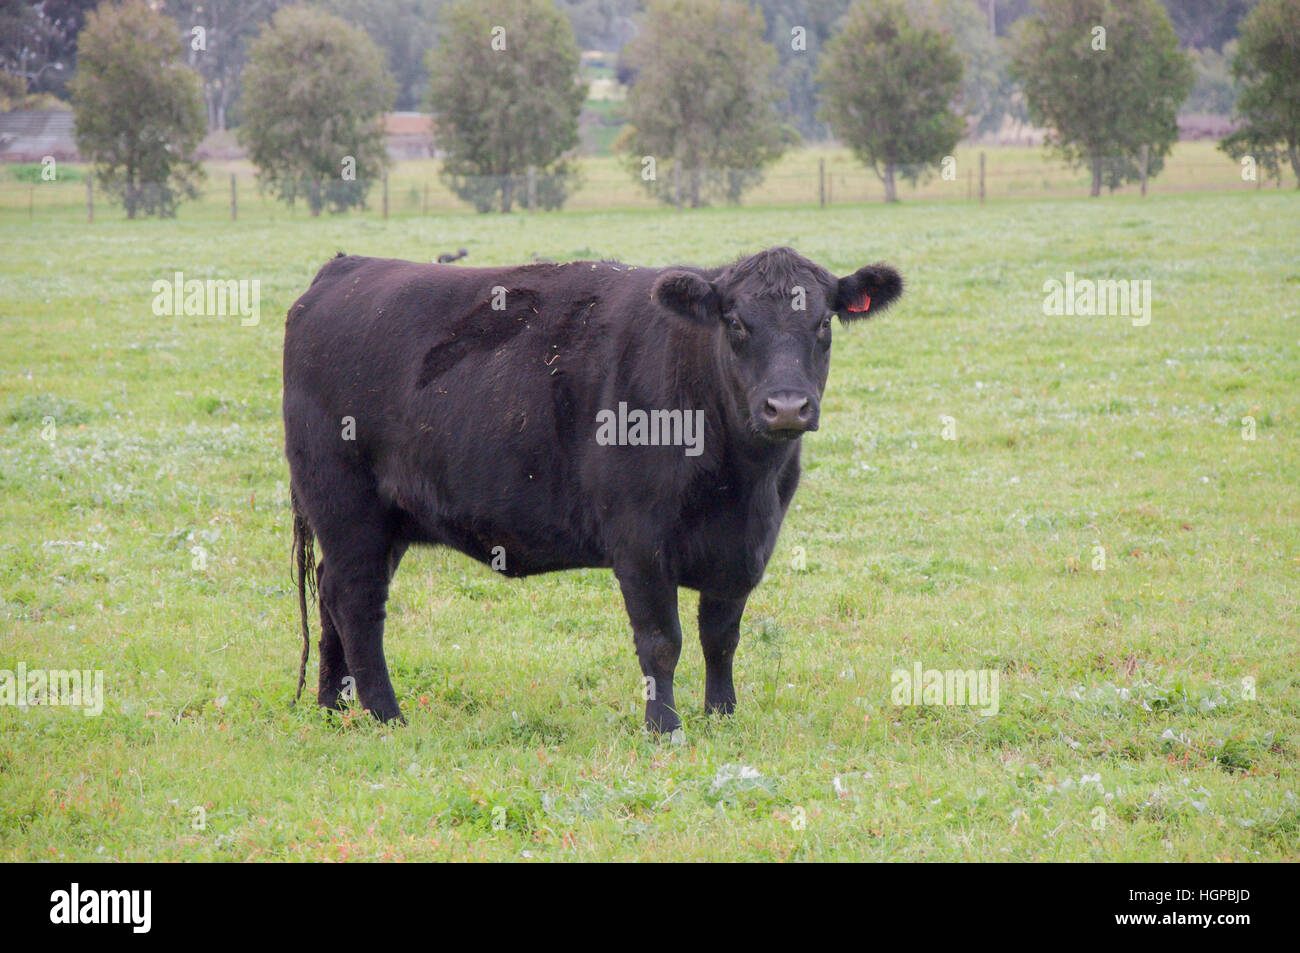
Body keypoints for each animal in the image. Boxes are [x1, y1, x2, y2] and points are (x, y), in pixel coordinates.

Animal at [283, 243, 899, 728]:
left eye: (823, 324)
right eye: (736, 323)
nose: (786, 406)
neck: (744, 481)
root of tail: (345, 268)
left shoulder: (745, 548)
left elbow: (720, 636)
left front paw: (721, 716)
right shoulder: (640, 541)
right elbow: (662, 641)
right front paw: (664, 727)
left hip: (383, 521)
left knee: (331, 593)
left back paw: (334, 707)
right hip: (346, 504)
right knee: (356, 601)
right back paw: (387, 715)